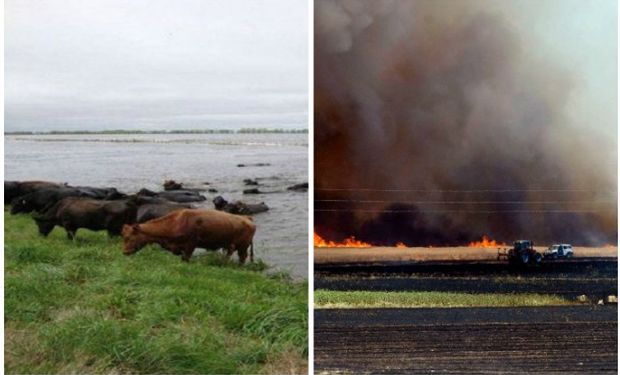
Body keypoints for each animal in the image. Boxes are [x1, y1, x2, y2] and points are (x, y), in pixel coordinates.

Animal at [120, 209, 256, 264]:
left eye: (129, 237)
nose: (124, 252)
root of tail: (247, 218)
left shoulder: (190, 245)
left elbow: (186, 258)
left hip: (243, 246)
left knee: (242, 257)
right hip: (233, 246)